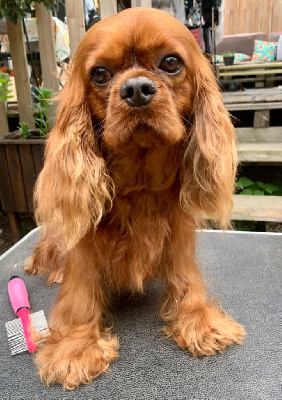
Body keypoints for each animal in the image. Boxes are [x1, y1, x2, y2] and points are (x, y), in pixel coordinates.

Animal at [27, 7, 247, 390]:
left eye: (171, 62)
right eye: (100, 74)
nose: (136, 89)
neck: (140, 182)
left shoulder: (178, 236)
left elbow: (186, 279)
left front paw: (198, 319)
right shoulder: (84, 250)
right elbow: (79, 293)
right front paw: (75, 346)